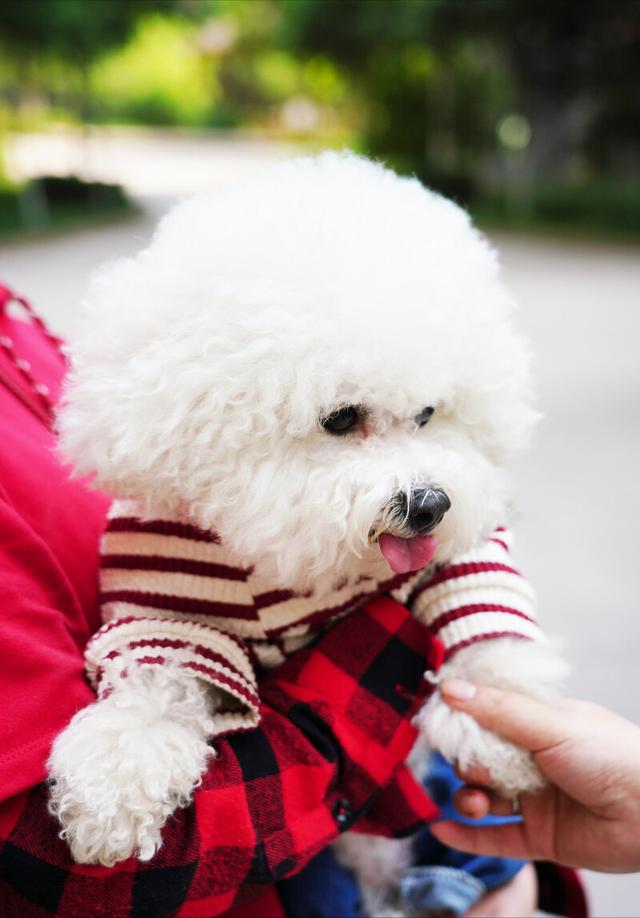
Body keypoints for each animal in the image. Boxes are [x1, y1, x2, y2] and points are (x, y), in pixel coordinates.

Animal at [51, 153, 568, 892]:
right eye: (341, 418)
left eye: (429, 414)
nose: (431, 505)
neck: (286, 563)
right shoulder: (168, 602)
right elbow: (156, 684)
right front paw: (112, 790)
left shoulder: (465, 545)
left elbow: (485, 621)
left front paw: (497, 730)